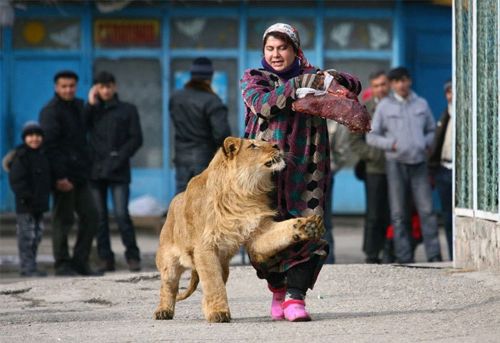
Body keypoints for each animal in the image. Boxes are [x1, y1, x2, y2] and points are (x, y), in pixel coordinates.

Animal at [152, 137, 324, 322]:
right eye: (253, 146)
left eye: (264, 140)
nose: (277, 145)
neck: (244, 192)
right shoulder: (205, 247)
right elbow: (213, 283)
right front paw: (219, 313)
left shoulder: (258, 231)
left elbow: (280, 232)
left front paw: (307, 226)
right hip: (168, 262)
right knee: (168, 287)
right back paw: (163, 311)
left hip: (223, 266)